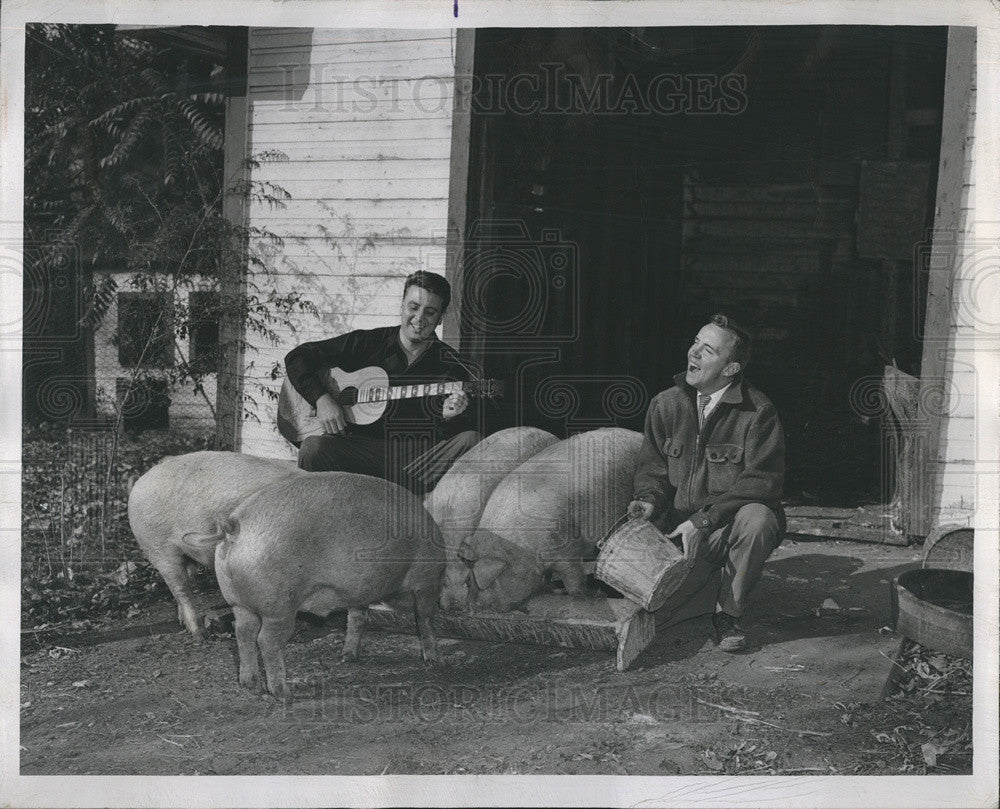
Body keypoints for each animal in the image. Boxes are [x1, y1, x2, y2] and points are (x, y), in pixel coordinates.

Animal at [188, 474, 446, 700]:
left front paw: (348, 657)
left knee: (243, 633)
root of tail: (233, 527)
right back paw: (284, 695)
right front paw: (433, 661)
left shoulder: (360, 593)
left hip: (238, 602)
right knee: (266, 641)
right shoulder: (427, 580)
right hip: (279, 606)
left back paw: (250, 686)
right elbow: (425, 619)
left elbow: (356, 618)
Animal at [458, 426, 644, 608]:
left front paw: (594, 594)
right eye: (469, 581)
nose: (469, 607)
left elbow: (573, 580)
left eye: (481, 582)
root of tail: (640, 436)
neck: (522, 548)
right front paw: (554, 591)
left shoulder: (568, 550)